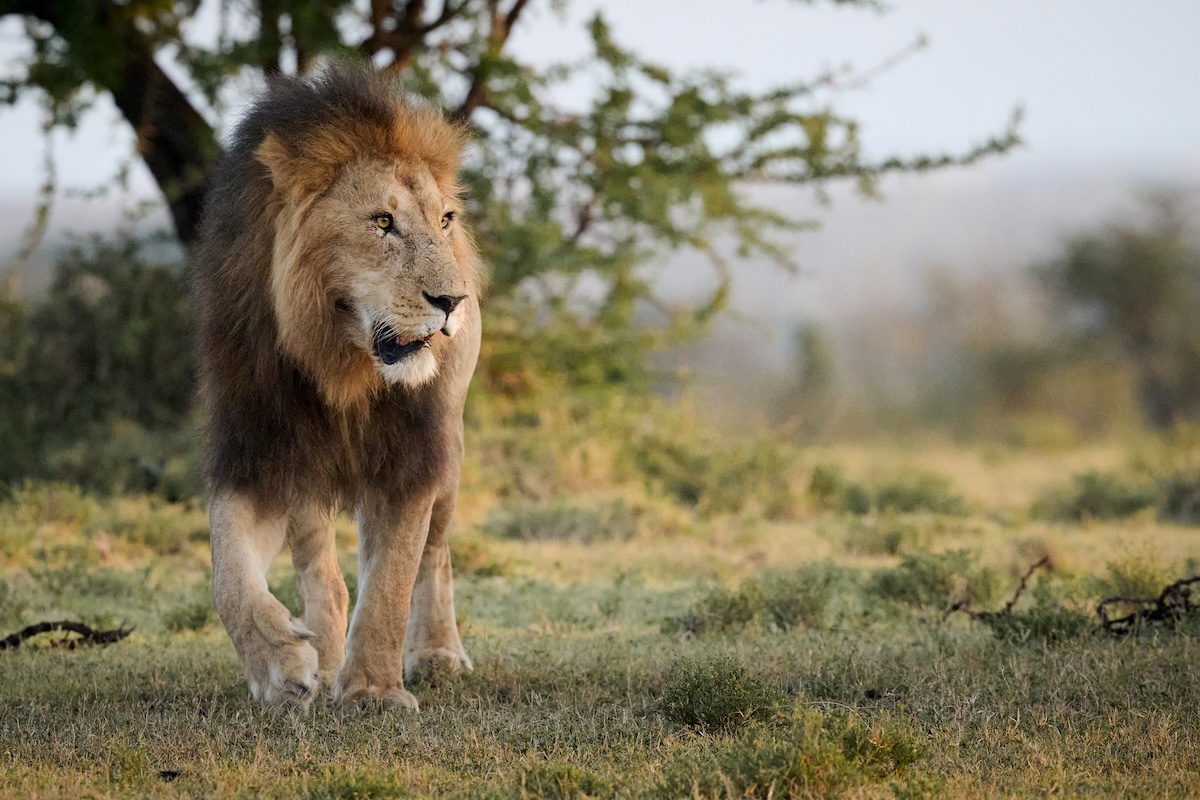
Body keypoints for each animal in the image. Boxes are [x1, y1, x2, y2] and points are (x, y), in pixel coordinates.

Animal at [193, 64, 482, 711]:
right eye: (382, 222)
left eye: (444, 221)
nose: (453, 301)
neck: (341, 365)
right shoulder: (258, 455)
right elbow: (228, 574)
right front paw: (280, 664)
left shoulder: (412, 459)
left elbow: (394, 579)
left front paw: (373, 690)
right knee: (322, 575)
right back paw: (321, 660)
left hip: (452, 446)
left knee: (436, 555)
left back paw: (437, 654)